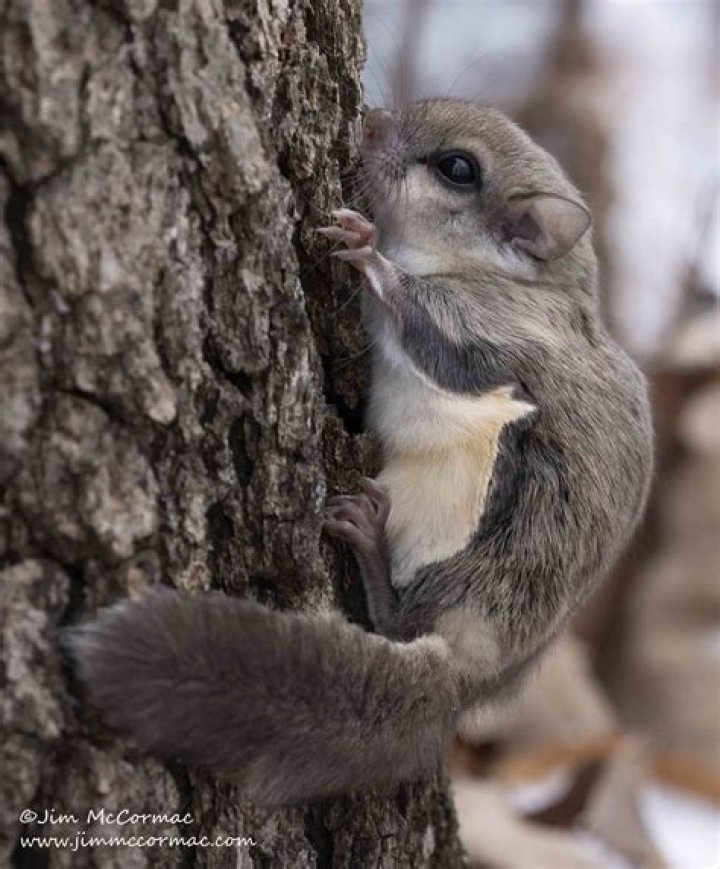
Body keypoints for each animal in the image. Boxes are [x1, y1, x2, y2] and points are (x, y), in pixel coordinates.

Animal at [69, 99, 653, 808]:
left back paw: (371, 545)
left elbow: (433, 333)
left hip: (482, 515)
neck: (521, 280)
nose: (370, 120)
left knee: (400, 622)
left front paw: (368, 251)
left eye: (458, 168)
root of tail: (467, 681)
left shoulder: (491, 335)